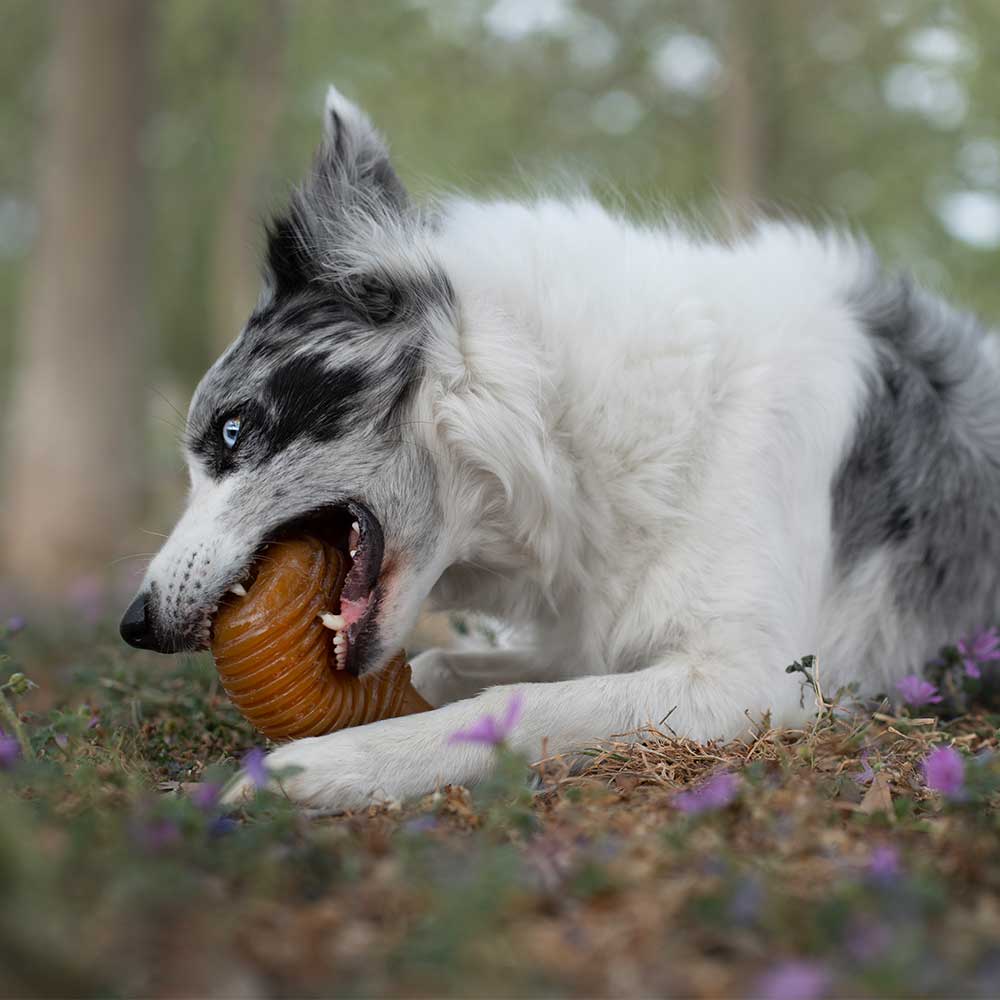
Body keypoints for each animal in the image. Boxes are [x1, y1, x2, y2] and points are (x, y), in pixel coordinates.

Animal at [119, 82, 1000, 808]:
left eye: (232, 431)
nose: (136, 622)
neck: (566, 418)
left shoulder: (754, 676)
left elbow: (515, 705)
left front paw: (326, 766)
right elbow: (448, 667)